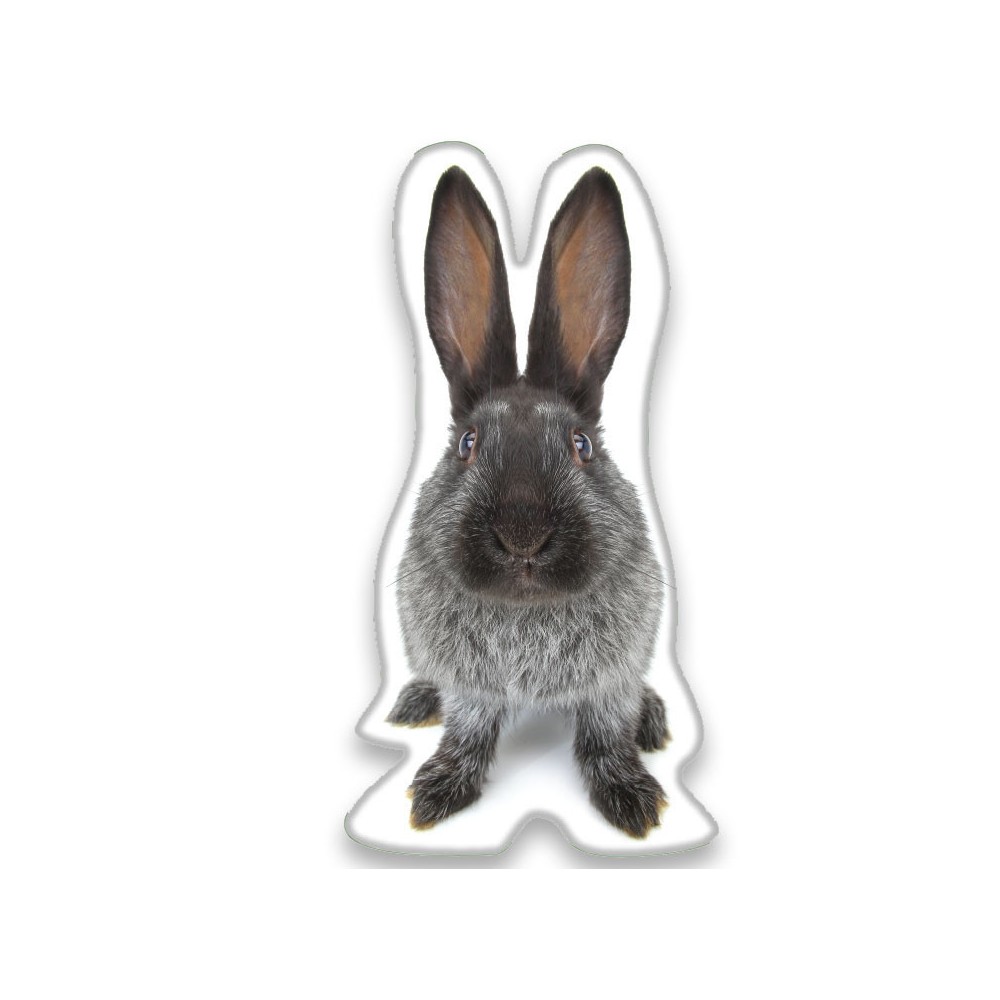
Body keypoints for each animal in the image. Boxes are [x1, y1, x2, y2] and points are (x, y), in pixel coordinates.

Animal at [386, 164, 671, 838]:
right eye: (466, 444)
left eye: (582, 446)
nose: (523, 537)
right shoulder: (471, 688)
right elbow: (466, 733)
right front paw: (435, 793)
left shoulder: (611, 680)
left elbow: (605, 737)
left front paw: (632, 800)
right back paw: (415, 701)